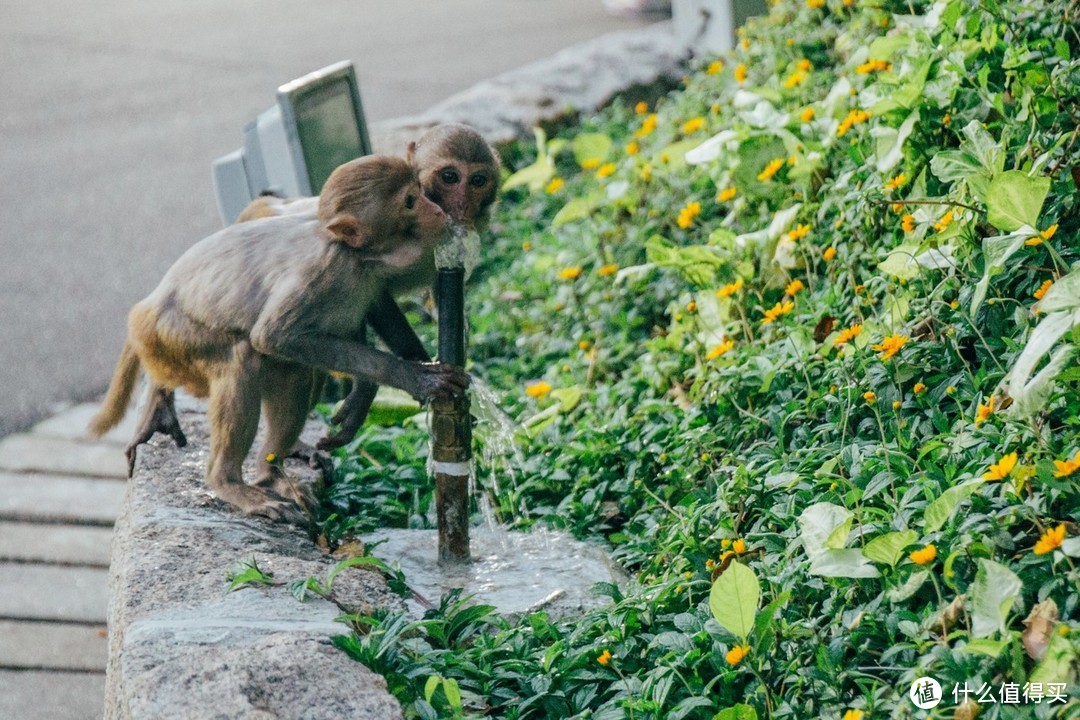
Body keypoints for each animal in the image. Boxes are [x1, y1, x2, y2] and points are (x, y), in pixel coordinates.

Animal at [87, 155, 468, 524]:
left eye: (420, 192)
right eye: (410, 201)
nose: (437, 210)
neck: (355, 254)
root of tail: (145, 307)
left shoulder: (365, 278)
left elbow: (372, 309)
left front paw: (381, 382)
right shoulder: (326, 272)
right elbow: (272, 335)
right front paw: (413, 377)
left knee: (291, 370)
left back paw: (269, 473)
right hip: (170, 337)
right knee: (245, 354)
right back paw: (228, 481)